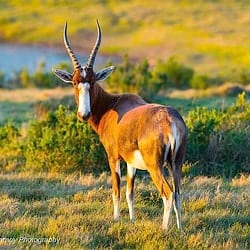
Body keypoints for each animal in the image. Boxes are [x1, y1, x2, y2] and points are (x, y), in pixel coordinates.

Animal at [52, 19, 188, 230]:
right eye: (75, 82)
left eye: (92, 82)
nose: (84, 114)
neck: (113, 105)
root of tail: (170, 120)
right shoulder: (131, 162)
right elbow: (129, 192)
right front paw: (132, 220)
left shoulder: (113, 156)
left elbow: (116, 189)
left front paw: (116, 220)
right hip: (176, 163)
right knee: (179, 193)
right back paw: (180, 229)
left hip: (155, 166)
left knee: (168, 193)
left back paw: (164, 229)